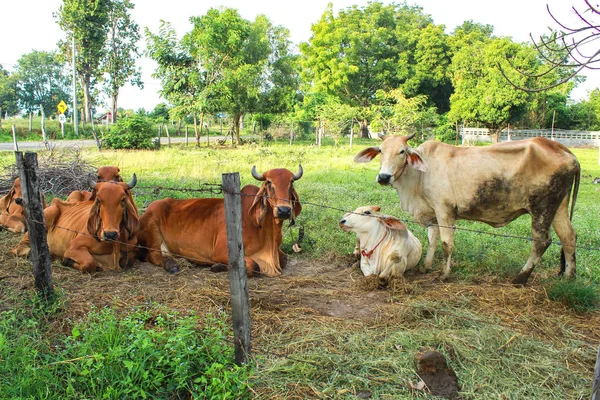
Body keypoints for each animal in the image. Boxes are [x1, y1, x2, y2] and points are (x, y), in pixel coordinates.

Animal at [138, 165, 302, 276]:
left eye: (291, 182)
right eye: (268, 182)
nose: (284, 210)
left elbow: (284, 259)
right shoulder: (224, 252)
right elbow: (254, 266)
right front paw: (218, 266)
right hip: (153, 230)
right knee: (152, 255)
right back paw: (172, 265)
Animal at [354, 132, 580, 284]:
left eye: (402, 151)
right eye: (381, 150)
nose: (384, 177)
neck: (419, 176)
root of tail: (563, 149)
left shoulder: (444, 211)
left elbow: (446, 244)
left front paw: (444, 274)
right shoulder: (433, 213)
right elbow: (432, 240)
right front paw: (426, 266)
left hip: (542, 208)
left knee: (542, 241)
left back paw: (520, 277)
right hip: (558, 208)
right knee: (568, 237)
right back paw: (568, 277)